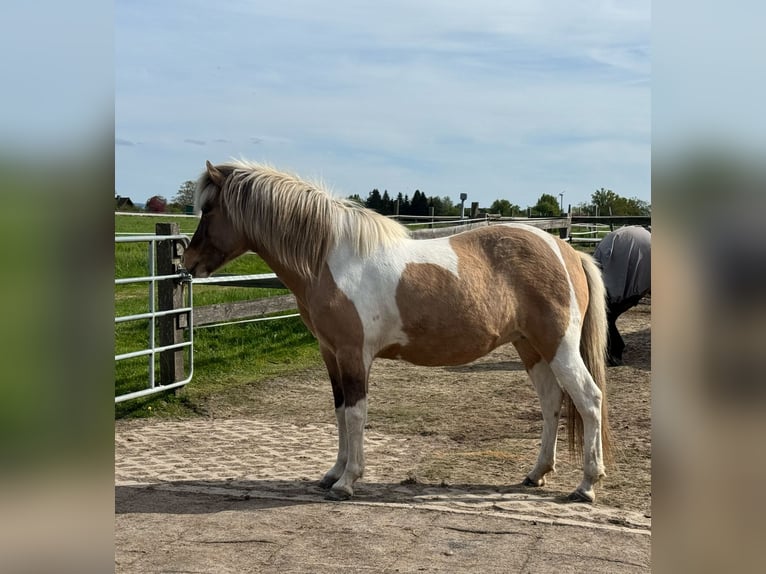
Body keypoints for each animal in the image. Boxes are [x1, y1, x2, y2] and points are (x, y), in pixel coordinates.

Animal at [183, 159, 613, 503]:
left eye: (208, 208)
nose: (188, 262)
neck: (332, 259)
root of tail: (565, 249)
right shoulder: (331, 354)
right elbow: (340, 412)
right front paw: (333, 473)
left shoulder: (354, 354)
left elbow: (356, 413)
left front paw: (348, 482)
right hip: (531, 348)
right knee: (551, 402)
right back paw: (536, 473)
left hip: (559, 347)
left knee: (589, 399)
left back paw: (586, 485)